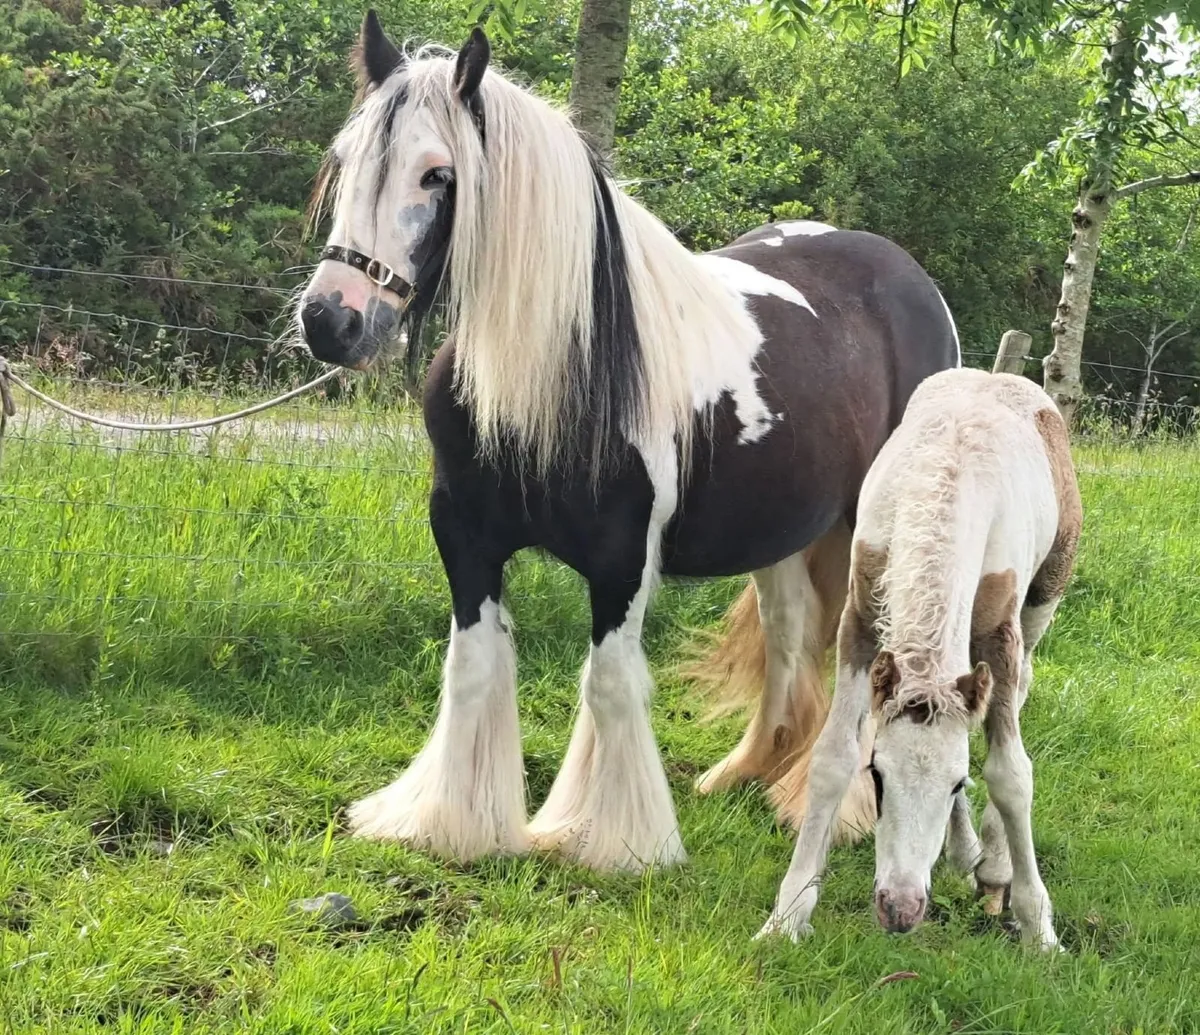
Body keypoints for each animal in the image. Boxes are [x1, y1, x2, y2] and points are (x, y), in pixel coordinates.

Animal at [295, 11, 960, 873]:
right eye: (344, 163)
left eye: (438, 175)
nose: (330, 321)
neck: (554, 373)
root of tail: (912, 278)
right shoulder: (464, 537)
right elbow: (472, 668)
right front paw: (451, 823)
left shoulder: (622, 560)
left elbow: (607, 683)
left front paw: (610, 840)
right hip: (787, 533)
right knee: (789, 636)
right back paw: (749, 772)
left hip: (872, 536)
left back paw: (837, 808)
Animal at [759, 368, 1081, 949]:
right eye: (878, 776)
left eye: (956, 783)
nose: (900, 910)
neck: (947, 482)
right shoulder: (861, 623)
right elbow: (831, 756)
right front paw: (786, 916)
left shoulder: (1001, 637)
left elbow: (1010, 773)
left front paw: (1039, 929)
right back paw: (965, 852)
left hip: (1041, 602)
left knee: (1020, 691)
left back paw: (994, 864)